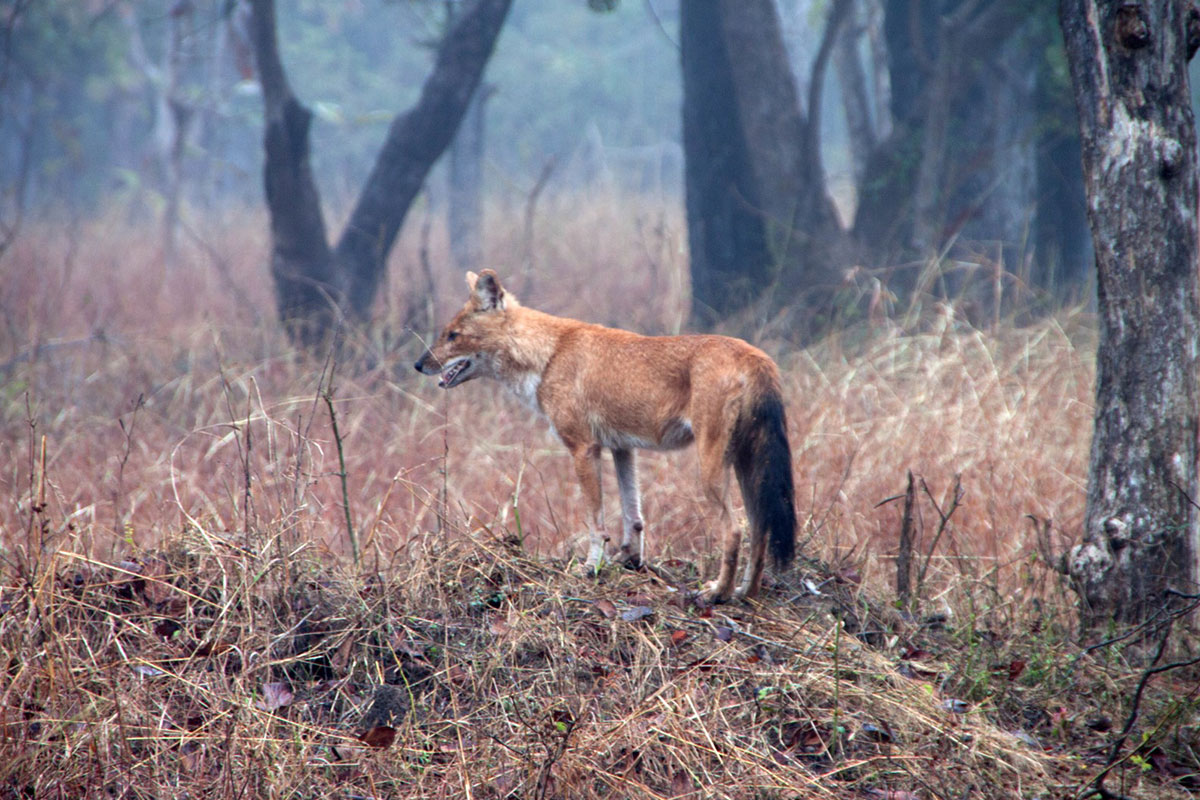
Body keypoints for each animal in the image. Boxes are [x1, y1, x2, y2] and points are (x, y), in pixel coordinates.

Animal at [415, 272, 796, 604]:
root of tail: (756, 357)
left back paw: (718, 593)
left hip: (710, 470)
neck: (548, 355)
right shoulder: (622, 448)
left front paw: (590, 567)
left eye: (453, 335)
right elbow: (633, 517)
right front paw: (629, 562)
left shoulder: (584, 449)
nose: (418, 365)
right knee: (761, 527)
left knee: (735, 530)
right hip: (748, 467)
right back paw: (746, 592)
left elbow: (595, 521)